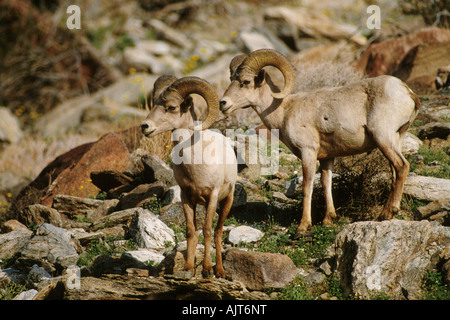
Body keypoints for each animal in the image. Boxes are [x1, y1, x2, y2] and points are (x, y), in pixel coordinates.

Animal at [142, 75, 237, 278]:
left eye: (171, 107)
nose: (145, 127)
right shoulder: (186, 197)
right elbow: (191, 231)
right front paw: (188, 269)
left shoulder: (212, 196)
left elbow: (207, 230)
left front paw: (207, 270)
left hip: (227, 201)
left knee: (218, 232)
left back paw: (219, 271)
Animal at [220, 48, 420, 239]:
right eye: (231, 79)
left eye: (246, 81)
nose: (223, 103)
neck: (284, 111)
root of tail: (407, 92)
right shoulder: (326, 158)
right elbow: (326, 183)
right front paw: (328, 220)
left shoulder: (308, 153)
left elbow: (307, 186)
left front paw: (302, 227)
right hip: (395, 139)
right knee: (395, 171)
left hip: (383, 137)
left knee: (402, 166)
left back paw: (385, 214)